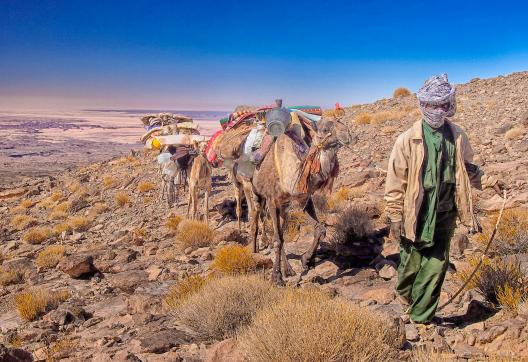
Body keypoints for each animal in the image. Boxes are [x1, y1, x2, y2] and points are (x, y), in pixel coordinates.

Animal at [249, 119, 348, 286]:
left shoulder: (303, 198)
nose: (347, 134)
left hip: (285, 208)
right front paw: (276, 278)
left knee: (281, 232)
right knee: (256, 220)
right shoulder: (272, 200)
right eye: (324, 129)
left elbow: (319, 229)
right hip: (256, 193)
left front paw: (306, 260)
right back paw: (255, 252)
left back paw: (288, 269)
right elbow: (277, 239)